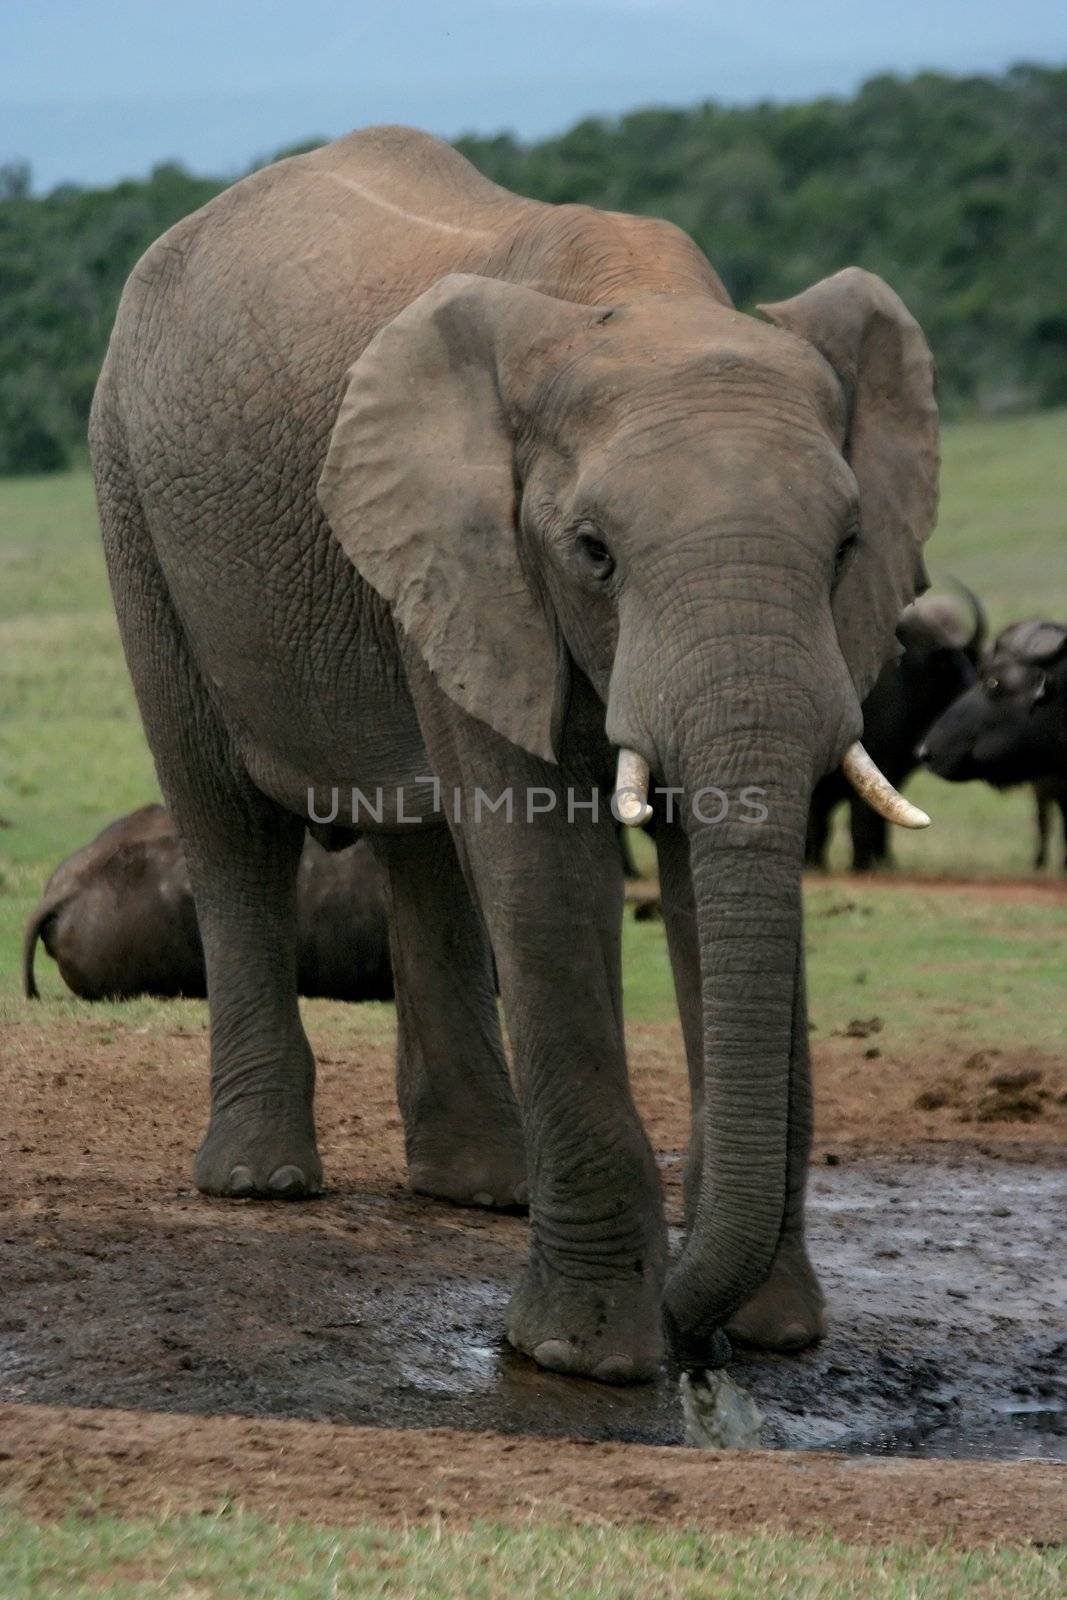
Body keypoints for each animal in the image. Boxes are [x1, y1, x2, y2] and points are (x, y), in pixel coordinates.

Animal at [93, 124, 940, 1382]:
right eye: (591, 551)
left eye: (845, 546)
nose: (694, 1333)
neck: (632, 300)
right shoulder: (469, 549)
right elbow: (544, 869)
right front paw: (583, 1354)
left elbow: (710, 872)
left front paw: (775, 1335)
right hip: (133, 505)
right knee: (225, 819)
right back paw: (261, 1180)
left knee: (420, 843)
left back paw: (481, 1189)